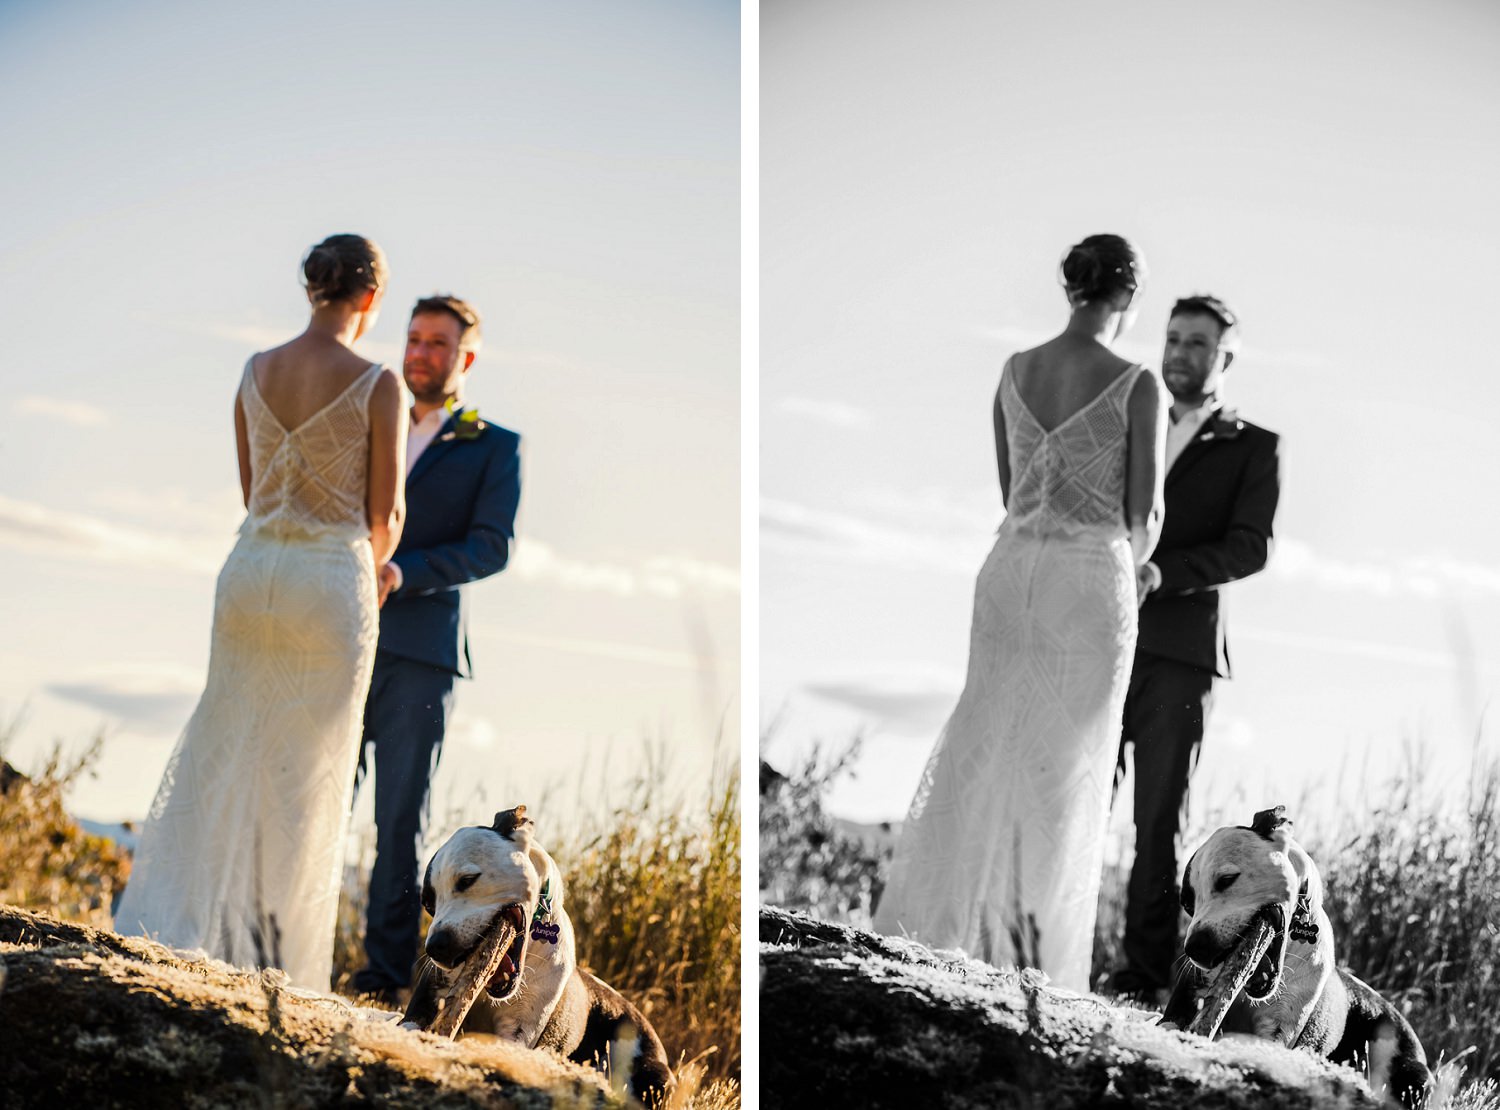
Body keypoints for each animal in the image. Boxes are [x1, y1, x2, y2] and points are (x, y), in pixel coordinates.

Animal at [405, 804, 675, 1104]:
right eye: (428, 904)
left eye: (467, 880)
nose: (435, 947)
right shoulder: (425, 1003)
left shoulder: (518, 1033)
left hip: (653, 1076)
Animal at [1158, 804, 1428, 1104]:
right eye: (1187, 904)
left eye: (1227, 879)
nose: (1195, 948)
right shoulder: (1181, 1005)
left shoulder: (1277, 1034)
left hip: (1411, 1074)